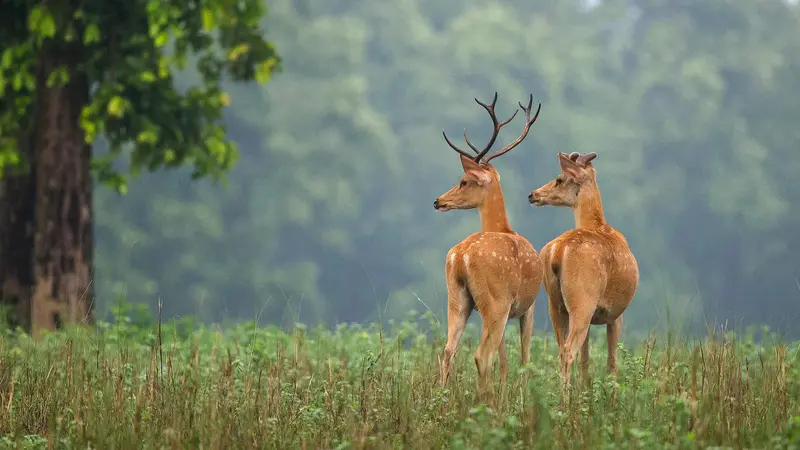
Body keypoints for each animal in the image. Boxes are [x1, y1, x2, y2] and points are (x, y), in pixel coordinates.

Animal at [433, 92, 543, 402]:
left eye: (463, 181)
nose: (437, 201)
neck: (504, 227)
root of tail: (460, 257)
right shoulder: (528, 305)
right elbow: (524, 358)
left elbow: (506, 361)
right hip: (495, 301)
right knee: (482, 356)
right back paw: (486, 404)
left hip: (458, 298)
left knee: (449, 350)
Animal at [527, 151, 639, 392]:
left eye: (559, 179)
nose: (532, 194)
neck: (598, 224)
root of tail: (558, 251)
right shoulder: (616, 313)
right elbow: (612, 363)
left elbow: (586, 361)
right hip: (583, 299)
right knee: (569, 351)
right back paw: (566, 398)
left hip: (555, 303)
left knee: (562, 350)